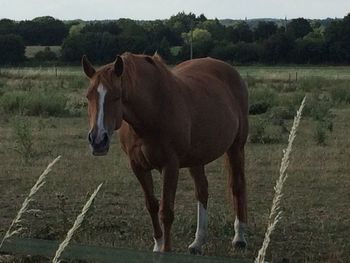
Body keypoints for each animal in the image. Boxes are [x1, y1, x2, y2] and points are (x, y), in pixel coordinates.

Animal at [81, 52, 249, 255]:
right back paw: (198, 242)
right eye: (88, 96)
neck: (152, 111)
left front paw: (166, 250)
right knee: (202, 191)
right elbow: (152, 205)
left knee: (237, 186)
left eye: (116, 96)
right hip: (197, 159)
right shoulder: (138, 167)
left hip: (236, 147)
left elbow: (166, 211)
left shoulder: (170, 166)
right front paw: (157, 245)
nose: (98, 140)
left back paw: (239, 237)